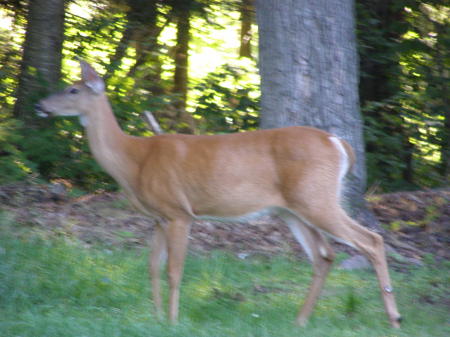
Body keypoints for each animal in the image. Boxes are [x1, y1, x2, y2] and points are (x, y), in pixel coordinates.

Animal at [35, 60, 400, 326]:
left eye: (72, 89)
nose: (39, 105)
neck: (134, 161)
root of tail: (339, 144)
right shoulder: (158, 218)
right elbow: (152, 266)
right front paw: (155, 317)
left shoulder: (179, 212)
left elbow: (174, 271)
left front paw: (172, 321)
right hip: (293, 209)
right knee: (324, 256)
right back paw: (300, 321)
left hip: (316, 198)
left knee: (371, 240)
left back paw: (394, 318)